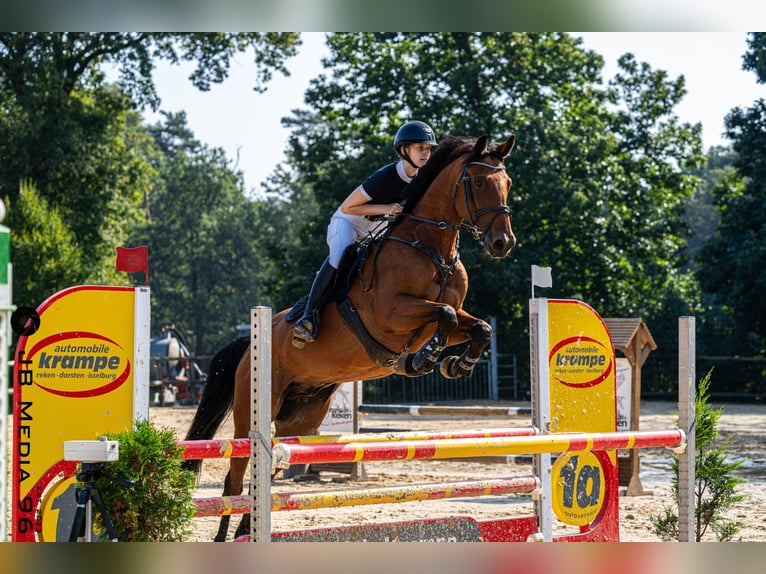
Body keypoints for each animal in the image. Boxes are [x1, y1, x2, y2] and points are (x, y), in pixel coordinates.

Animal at [187, 134, 520, 540]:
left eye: (507, 184)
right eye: (477, 182)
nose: (503, 243)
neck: (431, 249)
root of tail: (251, 344)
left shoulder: (447, 316)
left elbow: (478, 326)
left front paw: (457, 364)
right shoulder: (390, 315)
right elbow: (444, 313)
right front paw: (423, 358)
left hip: (300, 421)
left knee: (267, 469)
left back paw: (245, 532)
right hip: (250, 413)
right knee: (235, 477)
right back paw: (225, 536)